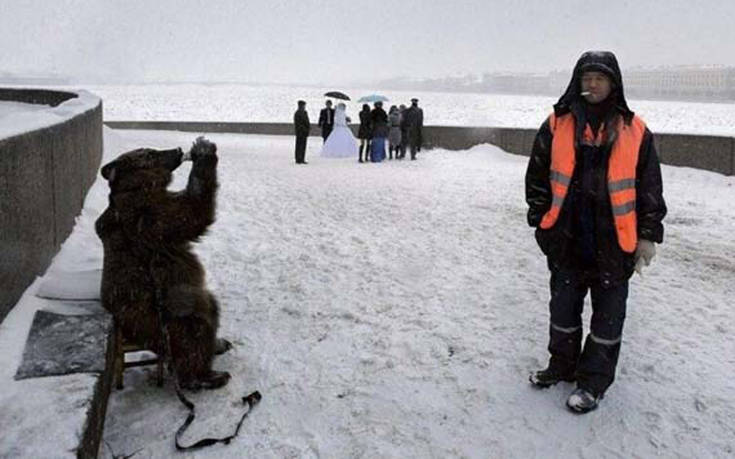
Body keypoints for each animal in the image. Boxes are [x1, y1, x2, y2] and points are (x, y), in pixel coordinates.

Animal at [95, 137, 230, 392]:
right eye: (149, 153)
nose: (177, 150)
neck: (138, 187)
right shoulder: (148, 217)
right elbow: (190, 213)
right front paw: (204, 151)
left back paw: (218, 345)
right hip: (164, 314)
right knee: (195, 331)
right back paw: (205, 376)